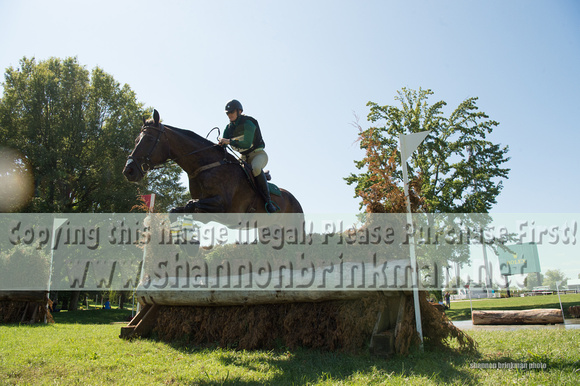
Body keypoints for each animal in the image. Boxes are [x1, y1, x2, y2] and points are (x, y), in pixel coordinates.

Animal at [122, 110, 304, 216]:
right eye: (137, 139)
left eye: (148, 139)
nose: (128, 171)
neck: (204, 167)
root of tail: (294, 199)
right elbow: (178, 209)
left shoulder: (224, 206)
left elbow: (191, 204)